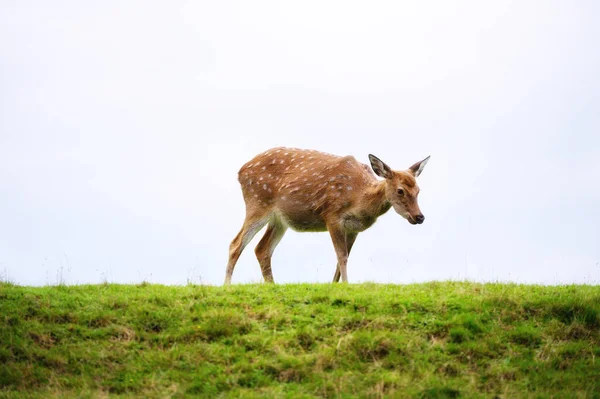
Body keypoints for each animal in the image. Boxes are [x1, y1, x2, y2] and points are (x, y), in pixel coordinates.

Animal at [223, 147, 428, 284]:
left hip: (280, 220)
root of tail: (240, 172)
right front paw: (346, 285)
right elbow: (341, 256)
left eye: (418, 190)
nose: (419, 217)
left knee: (262, 249)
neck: (359, 199)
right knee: (236, 243)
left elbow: (342, 258)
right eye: (400, 190)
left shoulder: (353, 229)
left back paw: (272, 285)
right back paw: (227, 286)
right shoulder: (332, 215)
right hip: (257, 203)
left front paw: (335, 285)